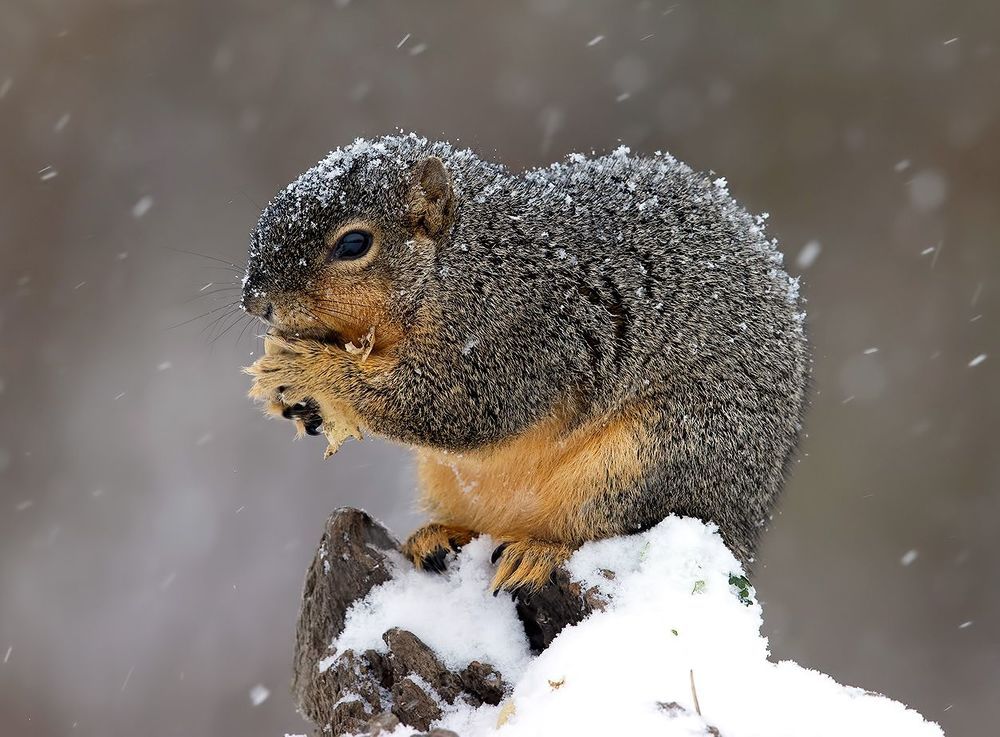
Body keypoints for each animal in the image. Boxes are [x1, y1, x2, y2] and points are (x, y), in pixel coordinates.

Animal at [242, 134, 809, 593]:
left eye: (354, 243)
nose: (255, 302)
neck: (459, 259)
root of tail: (741, 533)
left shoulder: (518, 332)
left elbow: (454, 407)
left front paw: (310, 369)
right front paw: (293, 403)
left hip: (652, 460)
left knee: (607, 529)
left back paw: (539, 551)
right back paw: (442, 535)